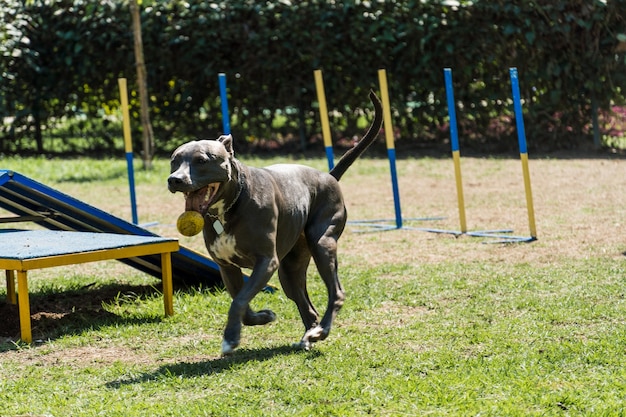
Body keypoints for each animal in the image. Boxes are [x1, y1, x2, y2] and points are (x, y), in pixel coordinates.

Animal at [168, 91, 380, 354]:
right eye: (174, 161)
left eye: (201, 160)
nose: (174, 179)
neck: (230, 206)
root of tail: (329, 176)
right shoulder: (227, 267)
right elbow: (242, 303)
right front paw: (263, 317)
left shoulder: (266, 262)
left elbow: (239, 301)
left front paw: (230, 338)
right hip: (289, 271)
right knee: (307, 307)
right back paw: (309, 336)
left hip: (322, 244)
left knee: (337, 292)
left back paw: (321, 331)